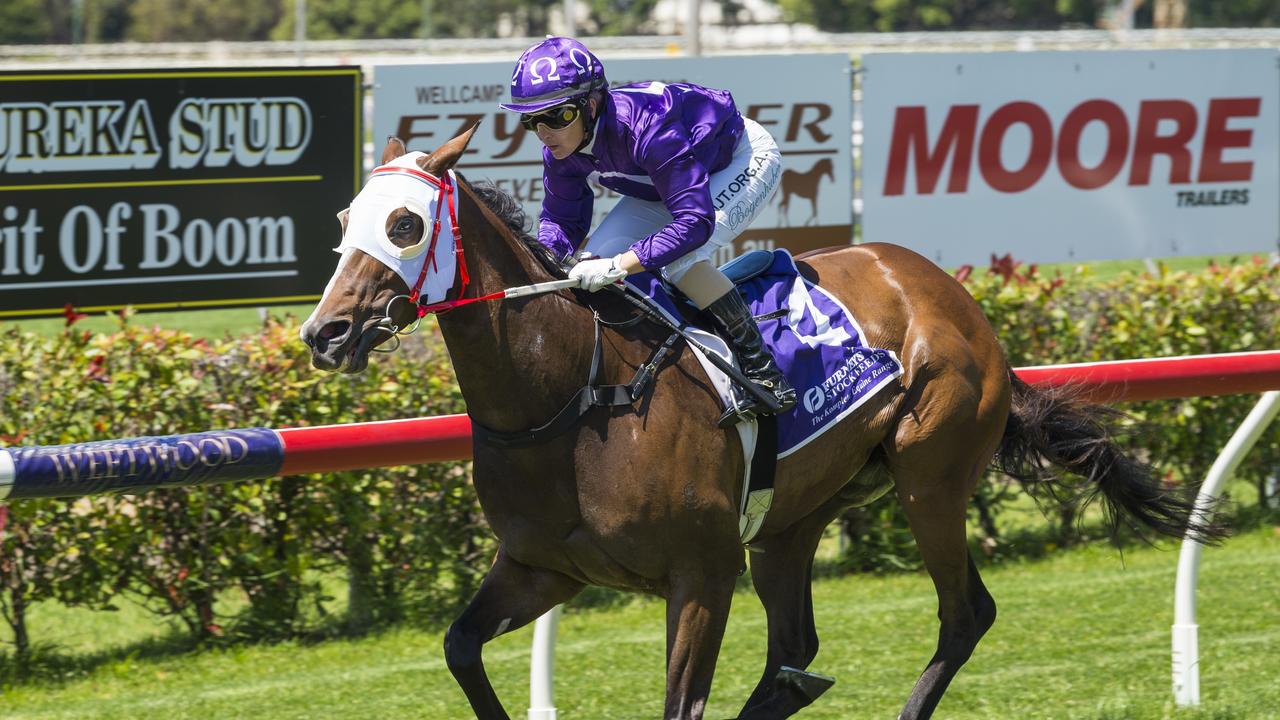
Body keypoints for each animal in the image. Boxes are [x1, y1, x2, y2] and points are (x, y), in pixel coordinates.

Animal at [296, 130, 1218, 717]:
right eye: (342, 223)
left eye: (405, 224)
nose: (325, 333)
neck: (570, 395)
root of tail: (952, 296)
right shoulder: (542, 568)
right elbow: (460, 650)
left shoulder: (701, 576)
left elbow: (682, 702)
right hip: (790, 525)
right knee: (795, 651)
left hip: (930, 476)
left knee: (964, 617)